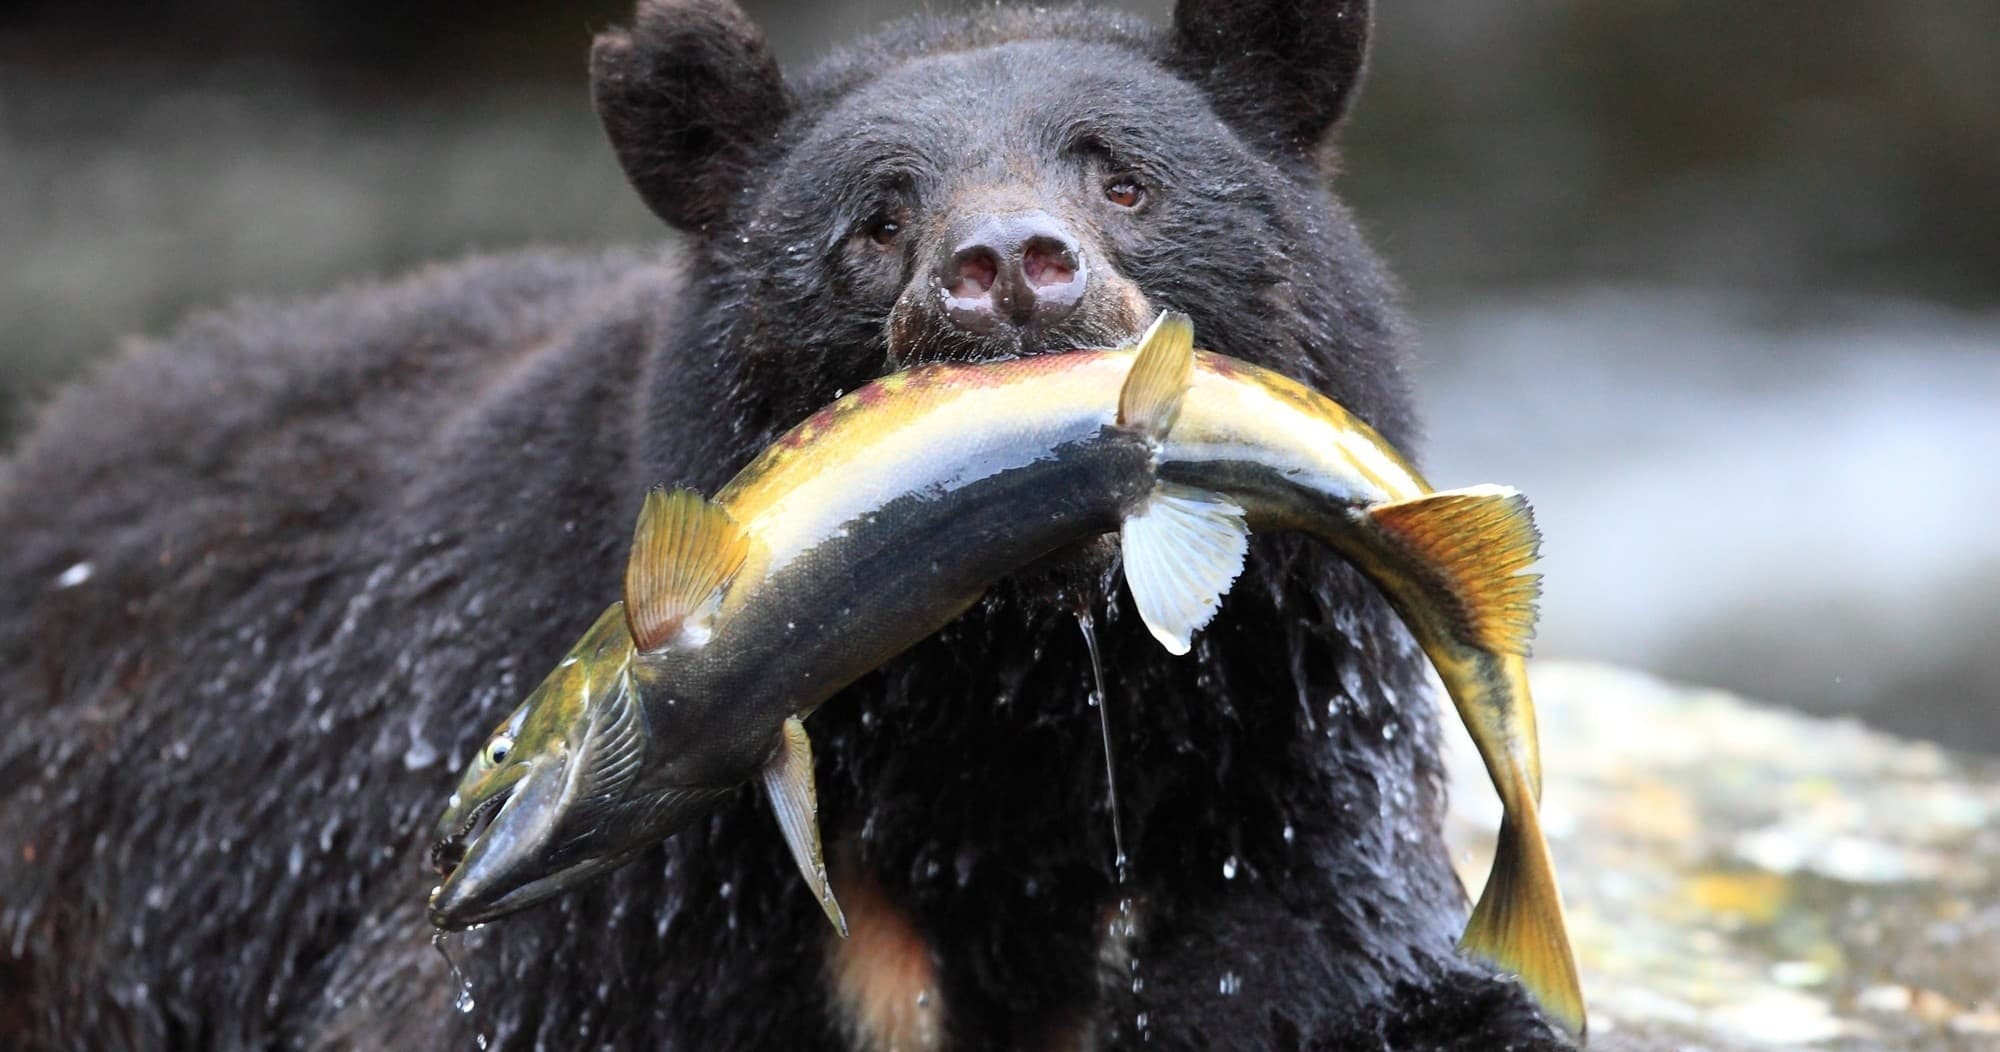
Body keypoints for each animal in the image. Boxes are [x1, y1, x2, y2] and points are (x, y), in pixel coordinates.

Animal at [0, 1, 1573, 1049]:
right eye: (876, 218)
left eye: (1123, 176)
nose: (1010, 265)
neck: (1013, 714)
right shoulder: (649, 898)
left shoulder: (1271, 782)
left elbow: (1336, 981)